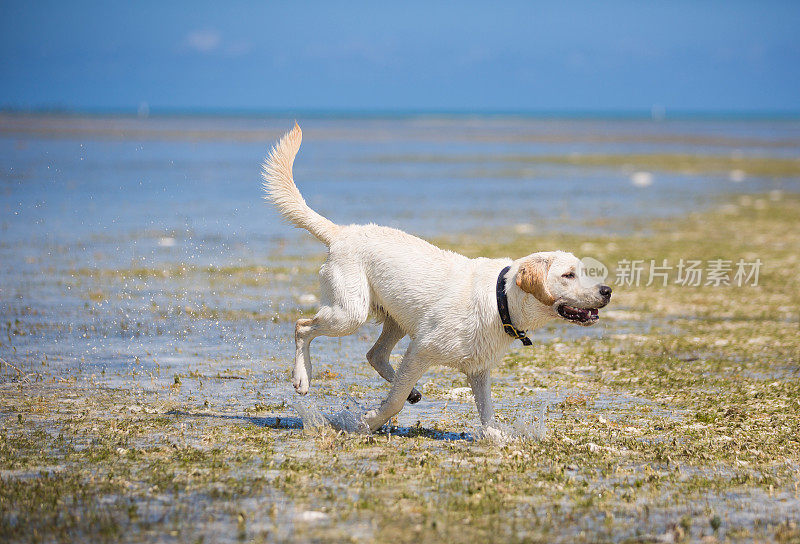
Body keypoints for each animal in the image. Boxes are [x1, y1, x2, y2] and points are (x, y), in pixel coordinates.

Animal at [260, 123, 608, 434]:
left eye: (585, 271)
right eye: (568, 274)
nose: (607, 291)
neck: (502, 300)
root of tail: (343, 232)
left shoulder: (477, 370)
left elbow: (487, 413)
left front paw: (496, 438)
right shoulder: (421, 350)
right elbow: (394, 402)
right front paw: (366, 422)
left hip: (396, 318)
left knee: (375, 355)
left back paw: (409, 389)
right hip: (349, 313)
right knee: (303, 327)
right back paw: (302, 377)